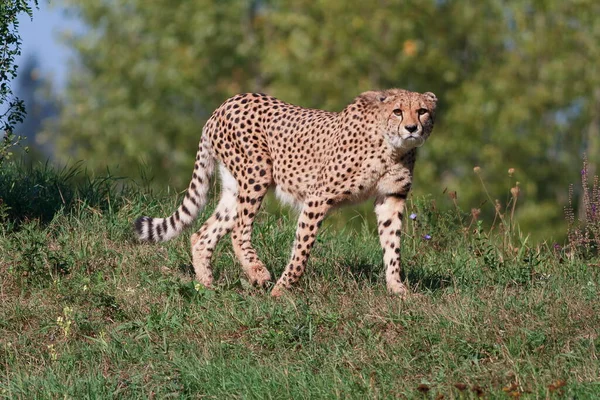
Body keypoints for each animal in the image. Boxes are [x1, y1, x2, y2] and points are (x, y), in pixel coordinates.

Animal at [135, 90, 436, 296]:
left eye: (422, 111)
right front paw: (281, 290)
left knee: (203, 234)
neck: (391, 147)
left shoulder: (391, 198)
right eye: (397, 111)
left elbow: (392, 246)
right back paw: (257, 273)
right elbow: (302, 249)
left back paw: (206, 285)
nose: (412, 128)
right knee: (239, 230)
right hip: (257, 172)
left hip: (235, 187)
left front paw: (398, 289)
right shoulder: (318, 197)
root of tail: (225, 104)